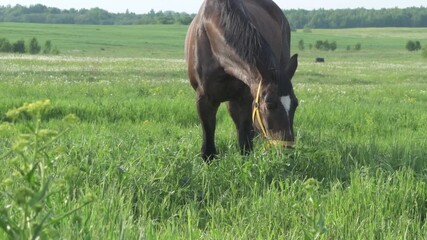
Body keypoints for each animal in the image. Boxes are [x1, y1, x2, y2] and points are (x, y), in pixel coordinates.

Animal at [186, 0, 300, 161]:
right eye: (270, 105)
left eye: (295, 104)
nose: (286, 149)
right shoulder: (204, 98)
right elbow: (208, 139)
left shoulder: (245, 99)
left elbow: (244, 138)